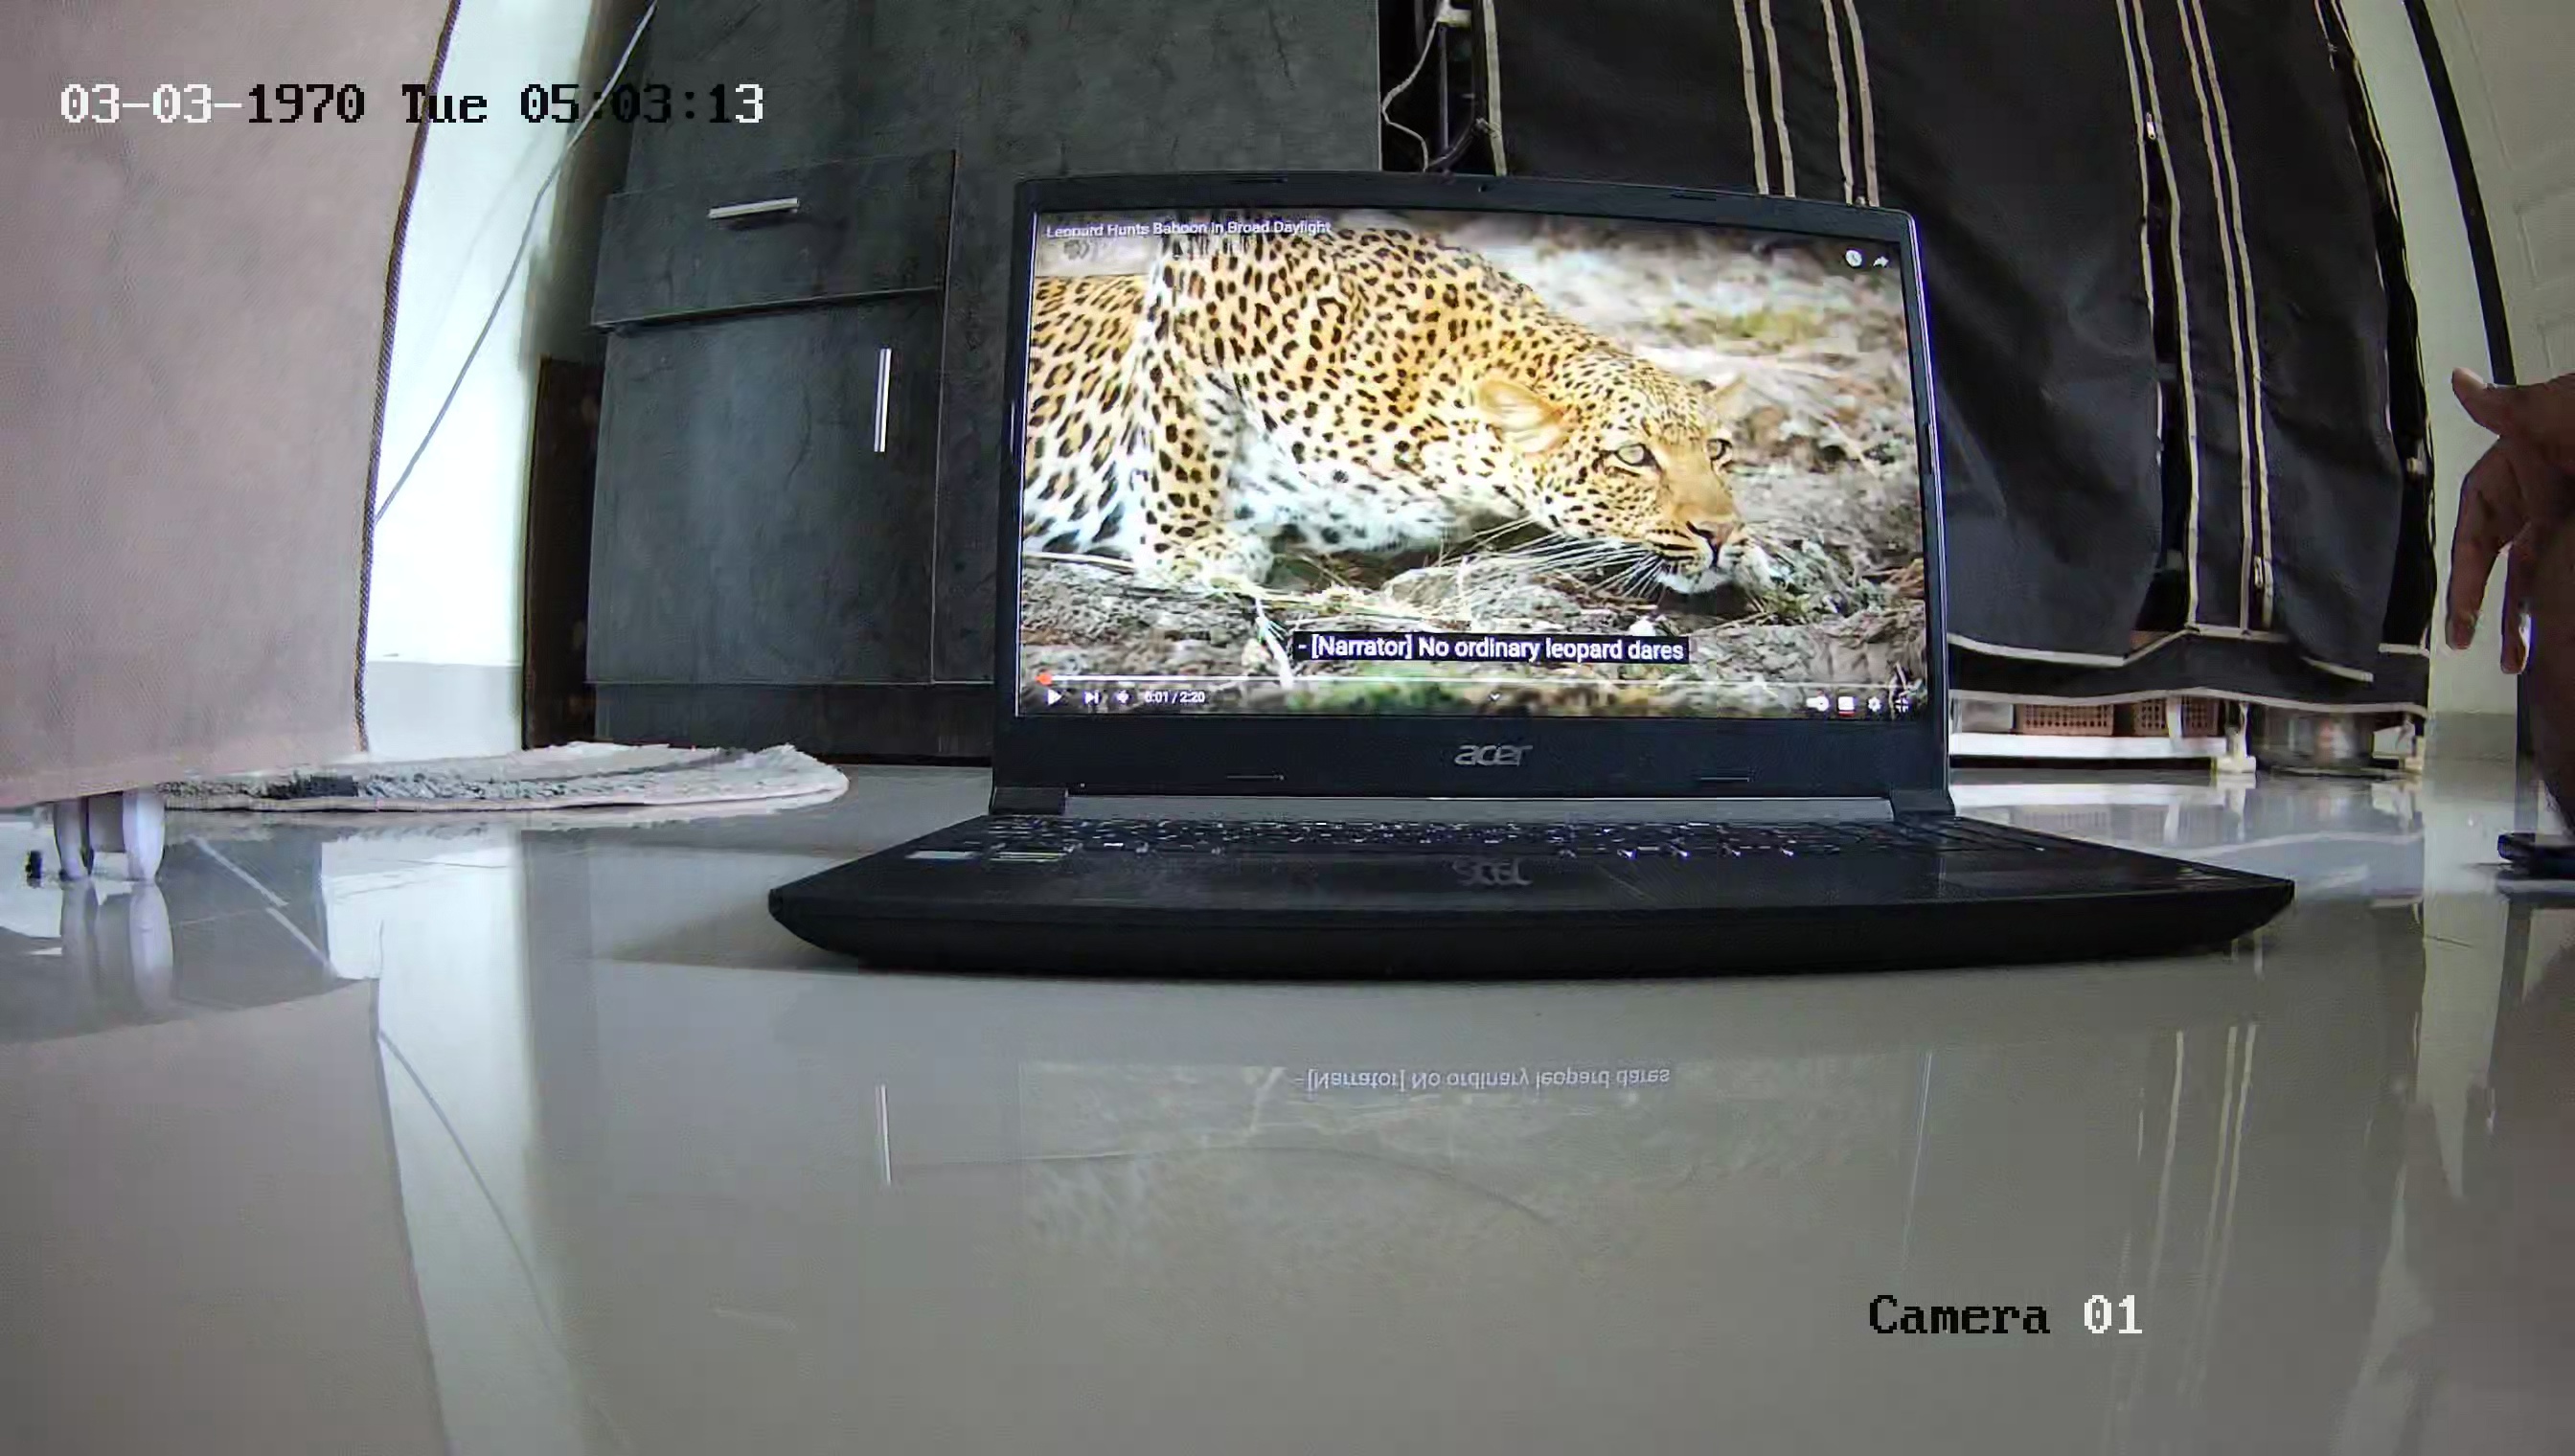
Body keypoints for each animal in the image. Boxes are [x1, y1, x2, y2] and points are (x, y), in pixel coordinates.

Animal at [1019, 220, 1754, 596]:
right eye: (1634, 456)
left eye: (1718, 451)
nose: (1719, 534)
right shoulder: (1207, 275)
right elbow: (1182, 440)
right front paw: (1192, 550)